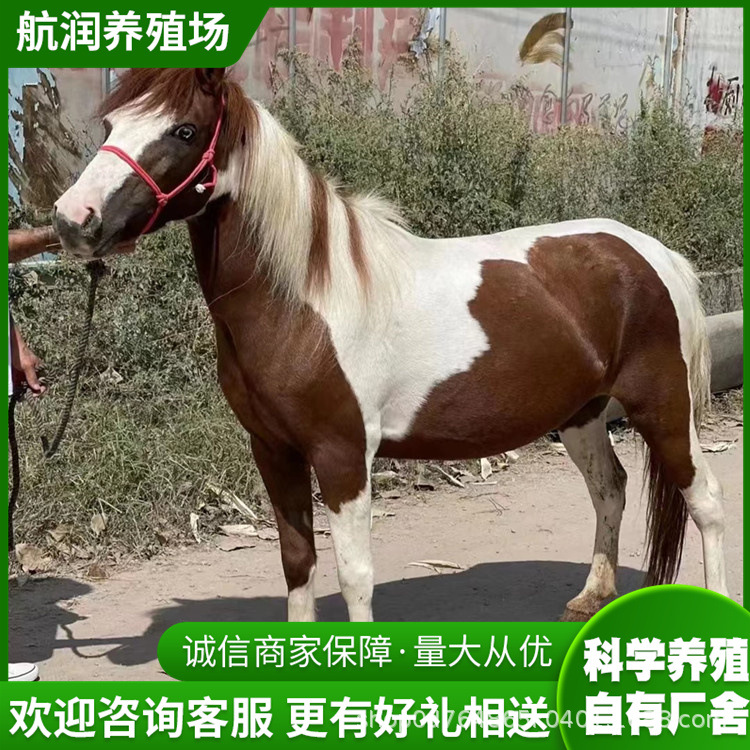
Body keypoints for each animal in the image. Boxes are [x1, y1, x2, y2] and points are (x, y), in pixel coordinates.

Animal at [52, 67, 728, 622]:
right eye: (112, 124)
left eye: (184, 130)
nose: (72, 219)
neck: (305, 303)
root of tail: (651, 251)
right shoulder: (273, 450)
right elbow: (297, 560)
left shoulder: (343, 454)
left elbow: (355, 574)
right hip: (580, 414)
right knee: (609, 488)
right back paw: (590, 598)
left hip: (662, 407)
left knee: (707, 502)